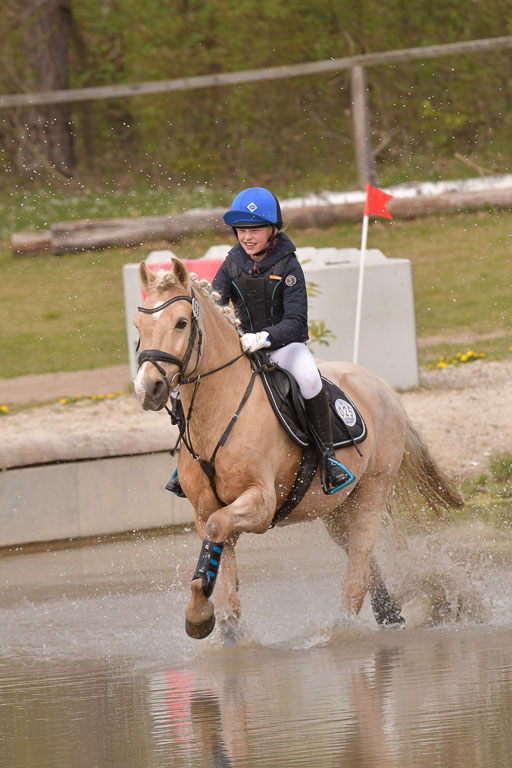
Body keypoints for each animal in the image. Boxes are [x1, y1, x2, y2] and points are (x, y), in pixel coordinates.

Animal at [133, 258, 464, 640]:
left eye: (181, 323)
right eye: (138, 326)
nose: (148, 389)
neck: (219, 410)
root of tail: (384, 388)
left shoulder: (260, 503)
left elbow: (219, 532)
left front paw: (198, 617)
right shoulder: (206, 510)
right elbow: (224, 584)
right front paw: (215, 625)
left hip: (372, 490)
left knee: (357, 570)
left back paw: (343, 630)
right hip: (337, 509)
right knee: (364, 560)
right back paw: (390, 614)